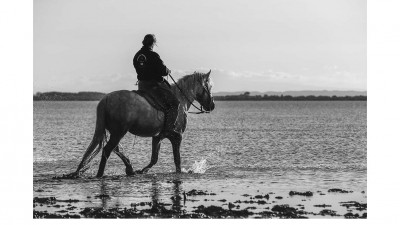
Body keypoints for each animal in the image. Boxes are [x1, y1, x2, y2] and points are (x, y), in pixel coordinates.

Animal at [64, 69, 216, 178]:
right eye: (209, 86)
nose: (212, 105)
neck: (181, 100)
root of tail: (106, 99)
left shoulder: (158, 136)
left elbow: (154, 158)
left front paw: (142, 171)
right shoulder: (176, 137)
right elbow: (177, 159)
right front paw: (179, 172)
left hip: (115, 131)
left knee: (115, 149)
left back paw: (130, 169)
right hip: (119, 131)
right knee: (108, 149)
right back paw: (101, 174)